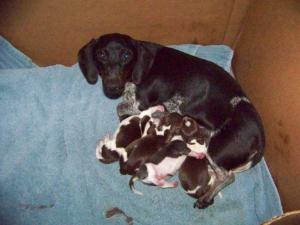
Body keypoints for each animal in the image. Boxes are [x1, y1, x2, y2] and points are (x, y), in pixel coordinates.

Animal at [77, 33, 264, 207]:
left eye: (126, 55)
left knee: (228, 176)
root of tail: (261, 138)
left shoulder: (141, 105)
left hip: (216, 150)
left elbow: (121, 108)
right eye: (101, 54)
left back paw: (206, 198)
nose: (112, 87)